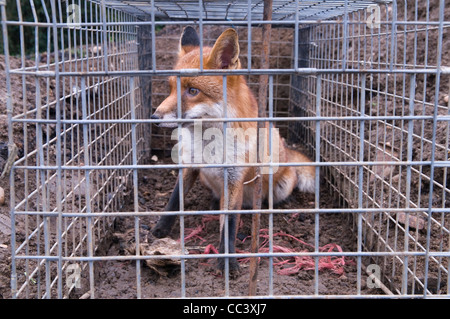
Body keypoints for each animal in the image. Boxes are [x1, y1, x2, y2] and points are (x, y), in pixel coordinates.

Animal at [149, 26, 314, 276]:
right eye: (170, 89)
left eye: (192, 91)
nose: (154, 117)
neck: (208, 144)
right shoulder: (189, 165)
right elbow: (174, 202)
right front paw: (160, 229)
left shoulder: (234, 177)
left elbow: (230, 224)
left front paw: (227, 261)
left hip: (279, 185)